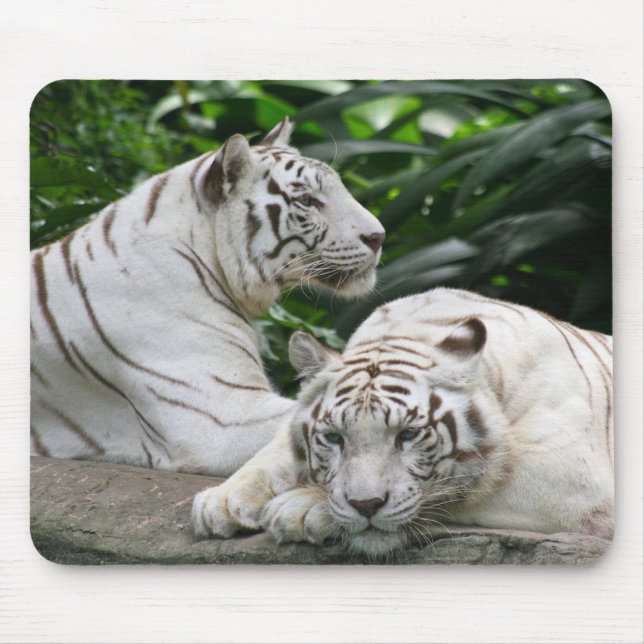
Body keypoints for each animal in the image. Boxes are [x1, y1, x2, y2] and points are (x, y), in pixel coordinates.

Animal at [192, 287, 613, 557]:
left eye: (408, 435)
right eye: (335, 438)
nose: (366, 506)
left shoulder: (576, 477)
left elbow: (469, 486)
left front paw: (302, 507)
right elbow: (275, 449)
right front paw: (224, 500)